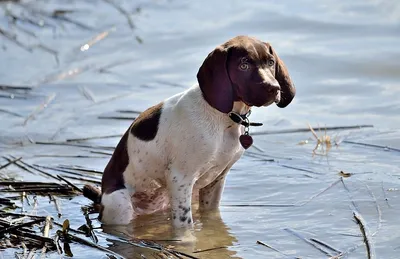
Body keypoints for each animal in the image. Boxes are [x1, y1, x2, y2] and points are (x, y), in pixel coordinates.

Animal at [83, 35, 296, 229]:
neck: (224, 119)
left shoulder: (216, 181)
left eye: (270, 62)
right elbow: (185, 227)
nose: (274, 88)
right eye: (244, 65)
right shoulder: (180, 179)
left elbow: (212, 218)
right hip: (120, 205)